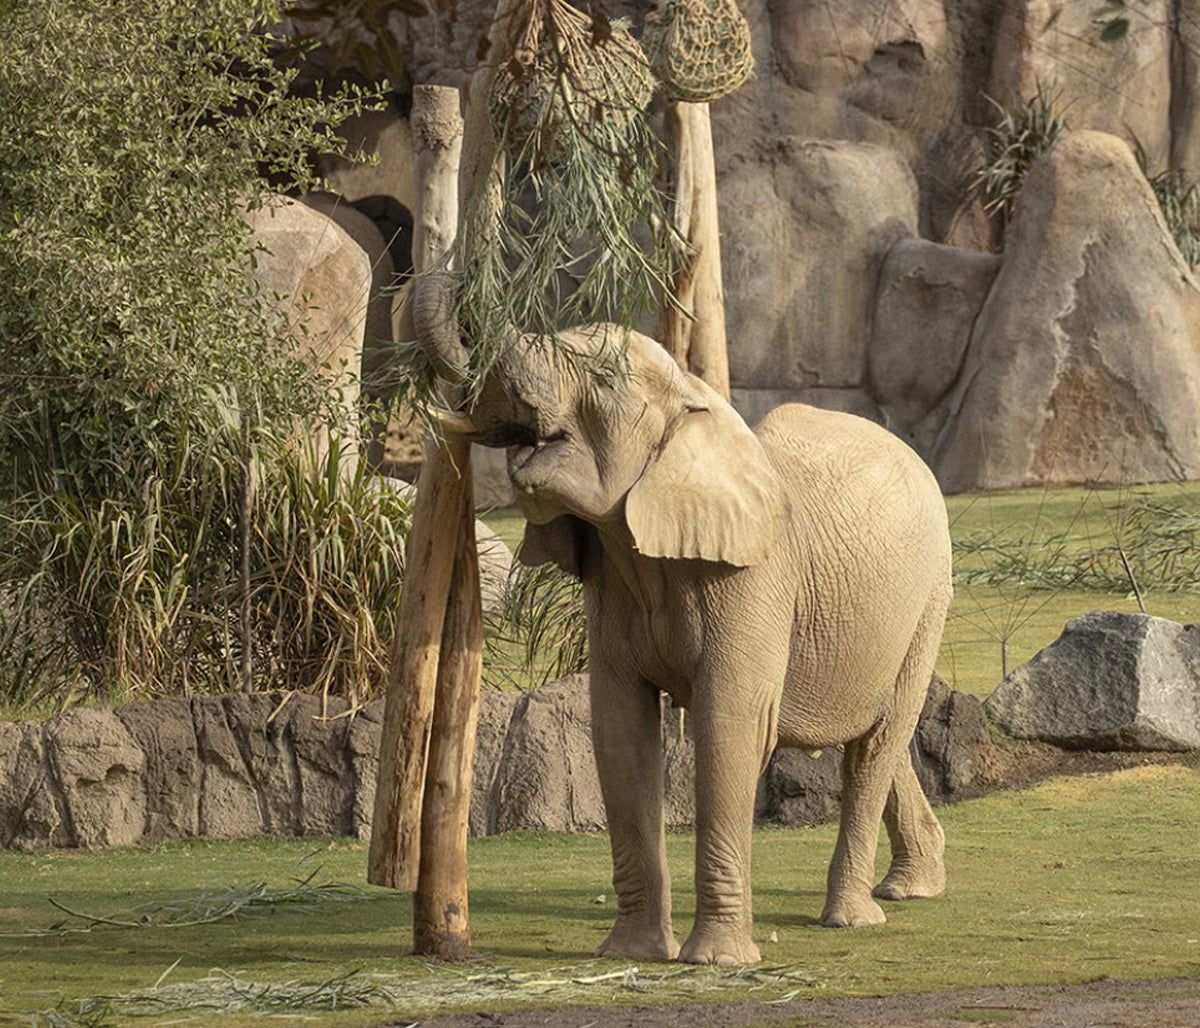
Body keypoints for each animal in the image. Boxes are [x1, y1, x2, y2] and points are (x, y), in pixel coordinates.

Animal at [416, 294, 953, 965]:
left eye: (603, 378)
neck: (692, 400)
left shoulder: (753, 577)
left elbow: (732, 724)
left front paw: (717, 961)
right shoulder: (611, 583)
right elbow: (619, 728)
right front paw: (631, 954)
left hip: (929, 597)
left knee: (877, 740)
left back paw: (854, 918)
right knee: (869, 733)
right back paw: (911, 888)